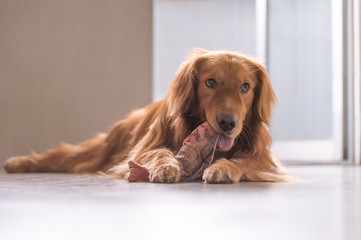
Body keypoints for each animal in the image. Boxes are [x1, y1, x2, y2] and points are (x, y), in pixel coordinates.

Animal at [4, 49, 292, 184]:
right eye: (210, 82)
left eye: (245, 87)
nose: (227, 122)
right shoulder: (143, 149)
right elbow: (159, 152)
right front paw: (165, 167)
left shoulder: (265, 159)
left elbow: (245, 161)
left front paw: (224, 167)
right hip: (102, 148)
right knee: (64, 155)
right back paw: (17, 163)